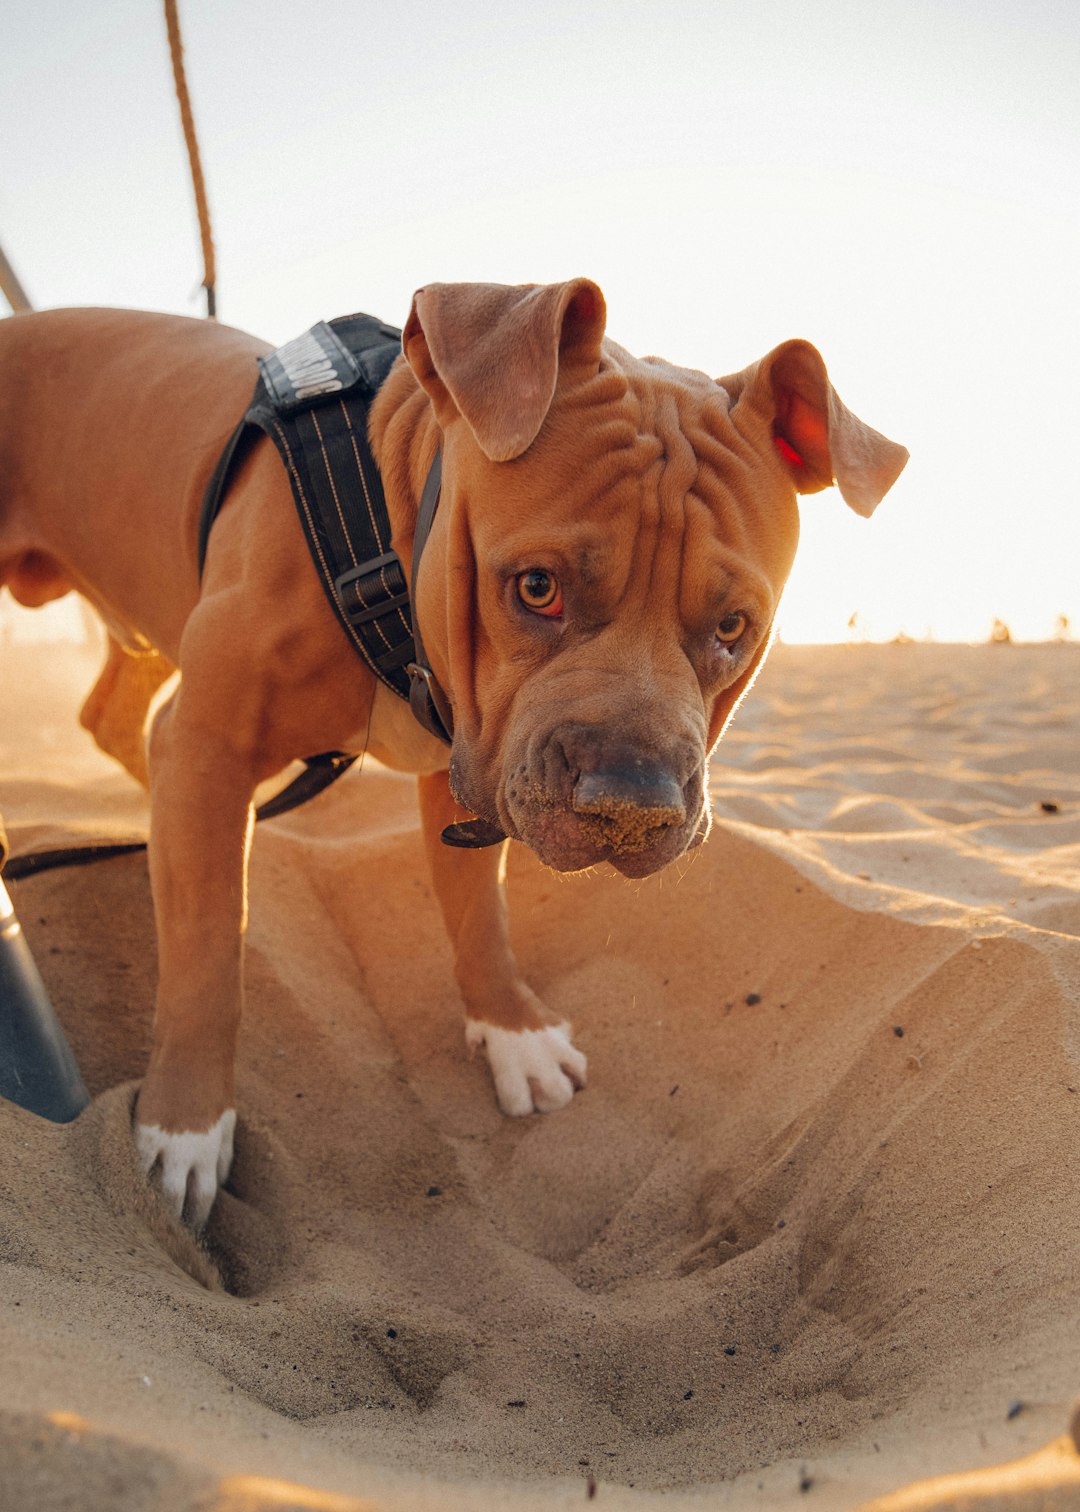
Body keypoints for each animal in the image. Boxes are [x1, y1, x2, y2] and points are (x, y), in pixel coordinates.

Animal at [0, 281, 907, 1227]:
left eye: (734, 628)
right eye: (537, 588)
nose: (631, 803)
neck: (387, 546)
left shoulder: (464, 768)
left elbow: (480, 914)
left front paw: (512, 1032)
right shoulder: (211, 739)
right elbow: (208, 950)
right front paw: (185, 1124)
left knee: (113, 718)